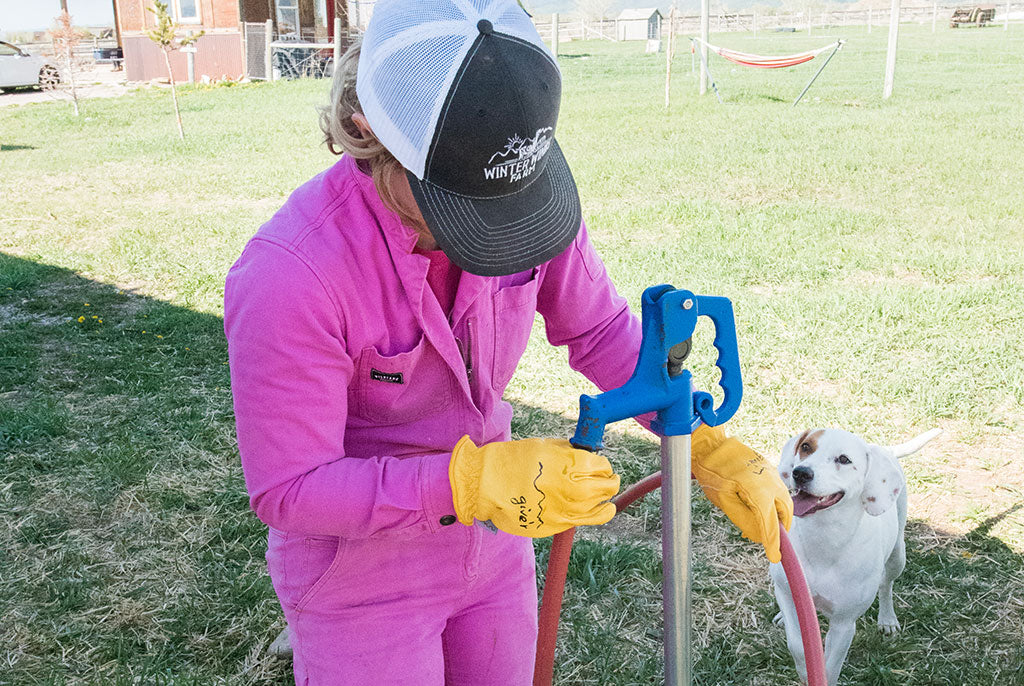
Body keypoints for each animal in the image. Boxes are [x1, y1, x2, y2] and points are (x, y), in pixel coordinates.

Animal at [770, 427, 937, 683]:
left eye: (844, 459)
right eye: (806, 447)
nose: (800, 473)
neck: (823, 538)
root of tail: (883, 449)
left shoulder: (844, 624)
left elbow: (830, 667)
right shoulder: (787, 591)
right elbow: (797, 645)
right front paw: (805, 671)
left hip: (898, 556)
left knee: (886, 585)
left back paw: (887, 618)